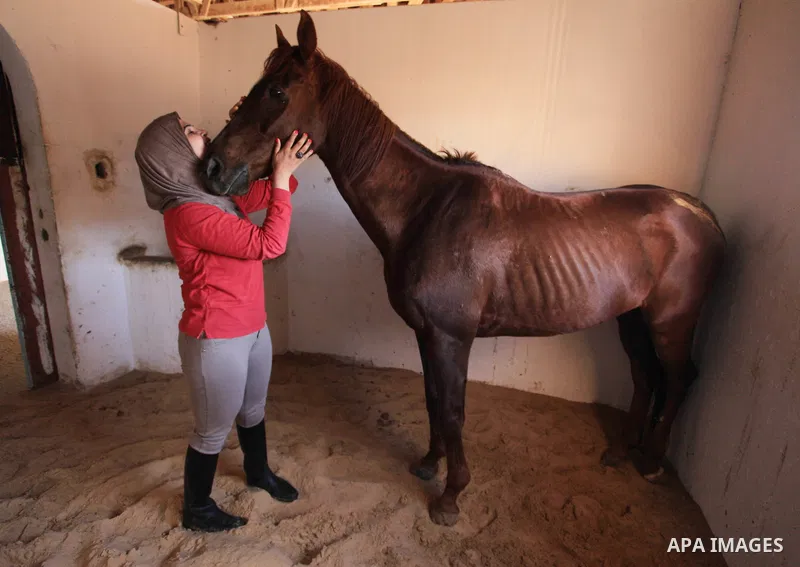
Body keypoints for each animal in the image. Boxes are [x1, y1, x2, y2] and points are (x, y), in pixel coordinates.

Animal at [200, 11, 726, 527]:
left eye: (277, 91)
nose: (213, 166)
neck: (425, 207)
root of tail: (698, 213)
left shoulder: (451, 336)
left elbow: (453, 410)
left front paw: (451, 496)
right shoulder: (426, 333)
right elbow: (433, 398)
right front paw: (430, 464)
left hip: (670, 324)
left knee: (678, 378)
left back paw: (652, 462)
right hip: (632, 319)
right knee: (644, 376)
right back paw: (619, 453)